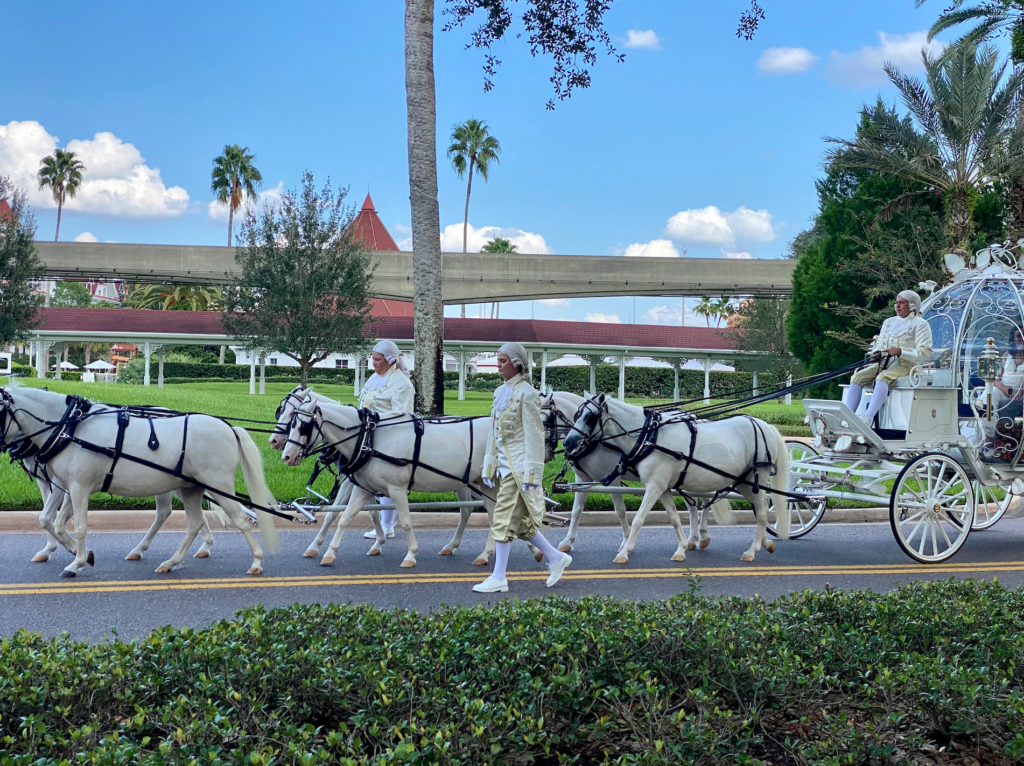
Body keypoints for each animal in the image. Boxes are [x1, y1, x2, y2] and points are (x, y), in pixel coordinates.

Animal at [1, 385, 280, 577]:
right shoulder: (69, 486)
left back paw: (256, 561)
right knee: (193, 523)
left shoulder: (79, 487)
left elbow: (77, 525)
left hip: (218, 486)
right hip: (190, 488)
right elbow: (53, 522)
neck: (69, 429)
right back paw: (170, 561)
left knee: (240, 520)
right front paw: (79, 554)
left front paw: (76, 562)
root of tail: (229, 428)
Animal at [286, 401, 544, 569]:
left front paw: (410, 555)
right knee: (491, 514)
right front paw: (329, 552)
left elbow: (407, 522)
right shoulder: (362, 489)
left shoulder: (397, 488)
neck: (370, 439)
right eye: (289, 422)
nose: (286, 456)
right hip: (483, 483)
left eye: (303, 427)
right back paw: (489, 552)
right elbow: (343, 519)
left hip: (490, 483)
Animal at [540, 391, 733, 552]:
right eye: (577, 415)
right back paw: (693, 539)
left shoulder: (612, 479)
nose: (567, 443)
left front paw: (626, 542)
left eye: (545, 421)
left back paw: (703, 536)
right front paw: (568, 541)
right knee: (693, 504)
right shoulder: (582, 477)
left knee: (705, 498)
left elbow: (620, 510)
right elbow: (577, 511)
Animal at [565, 395, 786, 561]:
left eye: (590, 417)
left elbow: (638, 519)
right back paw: (765, 543)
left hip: (756, 478)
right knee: (762, 507)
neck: (650, 437)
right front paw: (681, 548)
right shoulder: (663, 488)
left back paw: (752, 550)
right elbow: (674, 518)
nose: (567, 442)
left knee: (763, 511)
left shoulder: (653, 487)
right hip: (744, 483)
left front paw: (625, 551)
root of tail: (765, 426)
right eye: (577, 414)